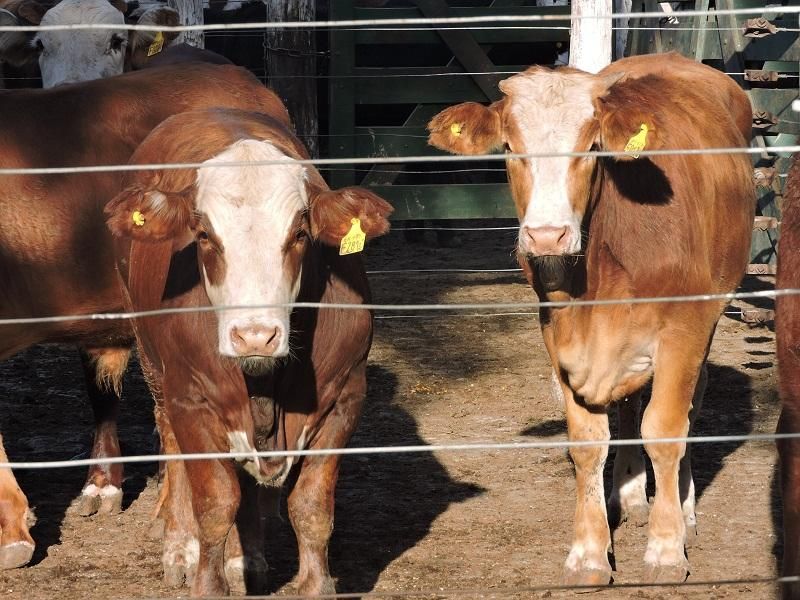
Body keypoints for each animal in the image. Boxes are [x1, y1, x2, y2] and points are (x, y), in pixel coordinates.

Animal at [104, 106, 392, 596]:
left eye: (300, 233)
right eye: (203, 234)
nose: (255, 335)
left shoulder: (346, 397)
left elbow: (311, 506)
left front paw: (315, 585)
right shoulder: (192, 400)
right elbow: (215, 504)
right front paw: (206, 580)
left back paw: (247, 559)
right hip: (154, 364)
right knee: (171, 443)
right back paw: (179, 546)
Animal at [427, 51, 755, 584]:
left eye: (593, 147)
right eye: (511, 148)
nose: (547, 236)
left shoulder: (684, 328)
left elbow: (666, 428)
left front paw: (666, 548)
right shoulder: (560, 333)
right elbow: (587, 443)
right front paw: (589, 551)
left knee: (690, 408)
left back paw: (684, 512)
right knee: (628, 409)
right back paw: (629, 493)